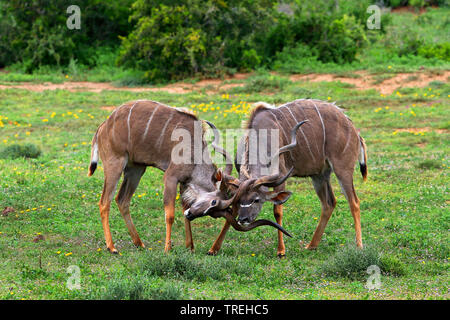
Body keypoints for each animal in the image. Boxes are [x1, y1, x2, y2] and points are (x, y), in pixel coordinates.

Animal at [87, 99, 241, 252]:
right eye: (213, 202)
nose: (192, 215)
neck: (194, 151)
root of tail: (103, 126)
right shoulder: (171, 177)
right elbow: (170, 215)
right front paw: (168, 248)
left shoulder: (183, 182)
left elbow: (184, 208)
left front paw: (190, 246)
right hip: (115, 165)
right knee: (104, 202)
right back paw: (112, 247)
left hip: (136, 169)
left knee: (122, 200)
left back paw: (139, 243)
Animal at [209, 100, 368, 258]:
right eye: (240, 200)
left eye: (256, 200)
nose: (243, 220)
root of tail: (353, 129)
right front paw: (214, 248)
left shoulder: (281, 178)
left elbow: (277, 211)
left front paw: (281, 251)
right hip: (319, 175)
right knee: (329, 203)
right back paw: (311, 245)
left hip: (343, 169)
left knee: (354, 202)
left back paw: (359, 246)